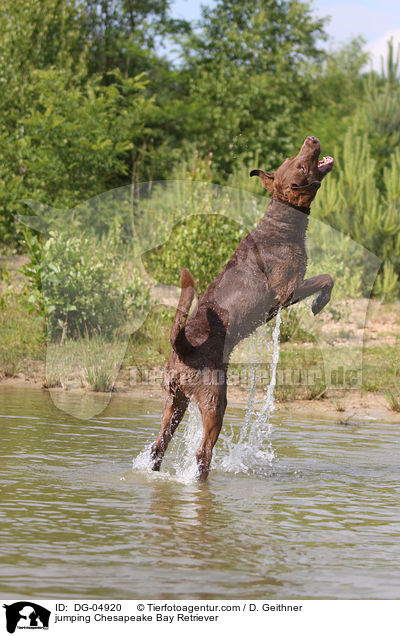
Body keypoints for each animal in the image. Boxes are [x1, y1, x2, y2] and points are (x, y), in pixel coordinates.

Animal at [150, 137, 334, 480]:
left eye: (293, 156)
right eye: (301, 165)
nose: (311, 140)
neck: (283, 222)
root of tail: (183, 346)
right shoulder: (288, 290)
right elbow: (326, 278)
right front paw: (319, 304)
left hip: (174, 397)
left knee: (159, 446)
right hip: (214, 398)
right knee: (203, 452)